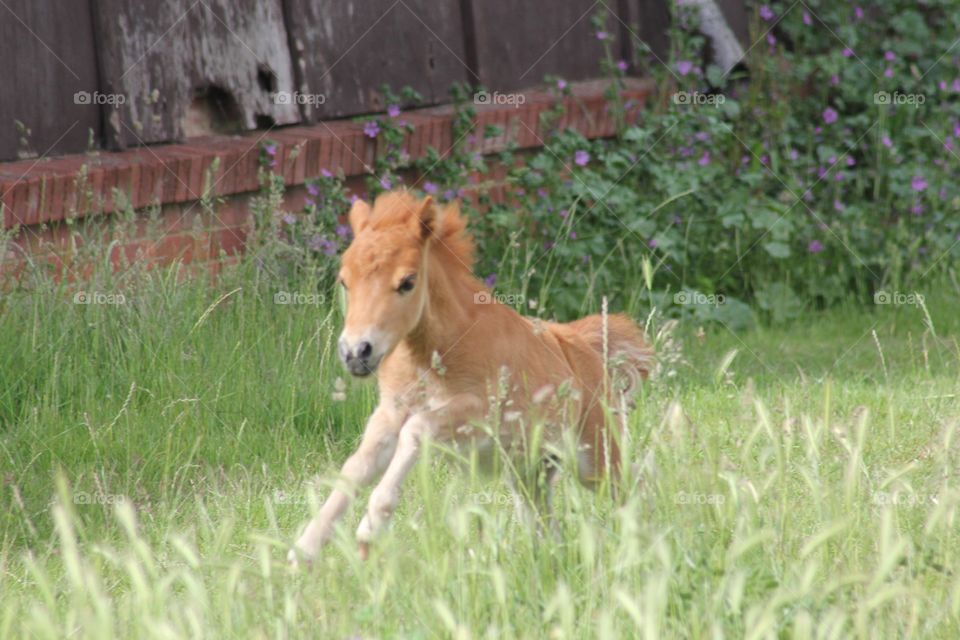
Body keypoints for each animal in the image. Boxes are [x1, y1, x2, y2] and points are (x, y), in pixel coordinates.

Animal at [289, 190, 653, 565]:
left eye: (407, 282)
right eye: (344, 280)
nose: (356, 352)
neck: (432, 353)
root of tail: (582, 344)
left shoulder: (480, 414)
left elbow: (417, 429)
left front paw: (370, 529)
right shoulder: (389, 413)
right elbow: (356, 467)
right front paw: (305, 549)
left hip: (594, 458)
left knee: (635, 489)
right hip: (529, 471)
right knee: (545, 523)